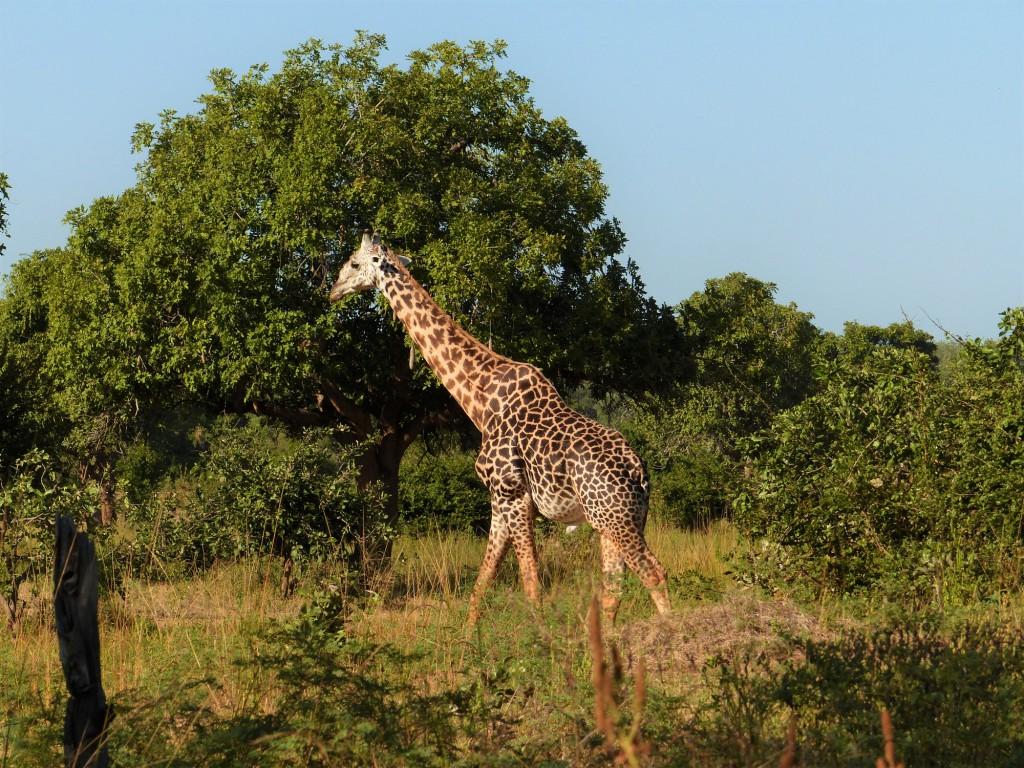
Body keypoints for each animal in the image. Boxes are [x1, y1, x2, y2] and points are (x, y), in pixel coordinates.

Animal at [329, 233, 671, 626]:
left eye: (355, 263)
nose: (333, 291)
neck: (479, 400)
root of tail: (638, 470)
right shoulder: (499, 501)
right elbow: (483, 580)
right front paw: (467, 636)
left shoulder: (513, 494)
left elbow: (530, 582)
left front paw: (539, 636)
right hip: (613, 519)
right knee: (615, 581)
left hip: (615, 517)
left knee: (653, 572)